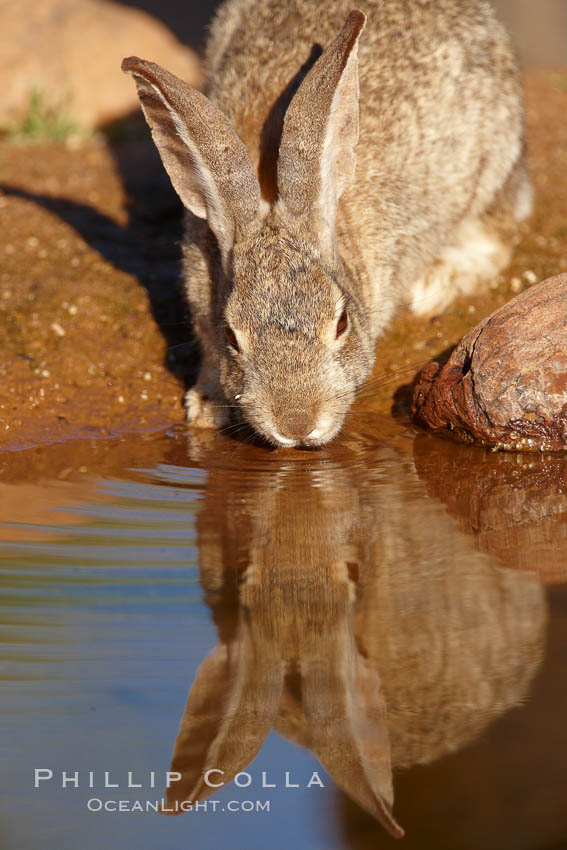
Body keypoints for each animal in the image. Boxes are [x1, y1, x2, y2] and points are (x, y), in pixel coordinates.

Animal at [121, 0, 532, 448]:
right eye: (230, 335)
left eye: (342, 322)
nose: (297, 426)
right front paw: (208, 405)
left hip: (490, 161)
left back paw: (432, 286)